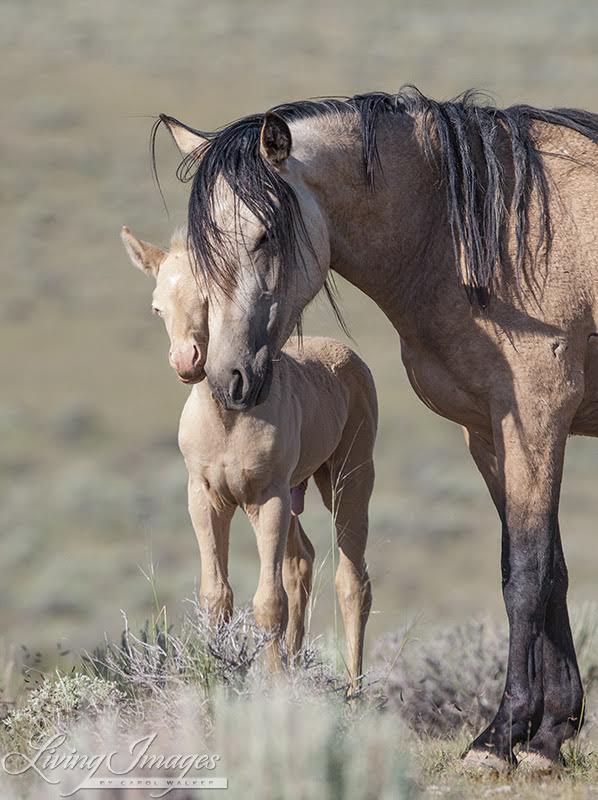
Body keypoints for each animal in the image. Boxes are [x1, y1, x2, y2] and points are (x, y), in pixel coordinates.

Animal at [122, 223, 380, 688]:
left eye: (209, 298)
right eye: (157, 308)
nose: (186, 360)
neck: (228, 421)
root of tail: (350, 357)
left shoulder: (267, 497)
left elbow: (268, 603)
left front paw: (273, 689)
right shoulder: (205, 497)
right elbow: (216, 595)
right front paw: (218, 677)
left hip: (348, 476)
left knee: (352, 581)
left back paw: (354, 691)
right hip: (296, 488)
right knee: (301, 561)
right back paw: (296, 664)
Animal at [156, 90, 598, 772]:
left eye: (264, 235)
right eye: (203, 251)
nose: (228, 380)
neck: (492, 237)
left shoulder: (537, 417)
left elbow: (526, 572)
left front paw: (501, 737)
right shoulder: (489, 432)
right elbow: (547, 569)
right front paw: (550, 732)